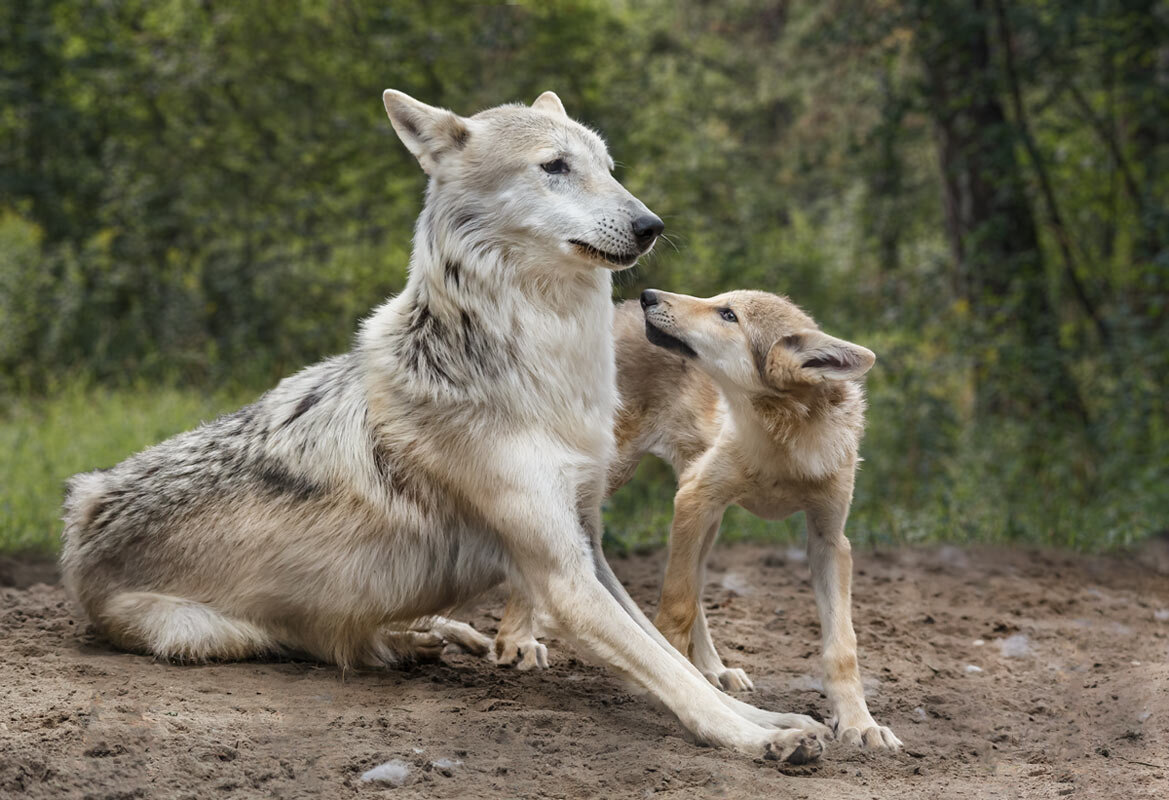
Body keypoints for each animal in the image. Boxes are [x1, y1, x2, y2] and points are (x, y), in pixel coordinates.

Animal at [60, 91, 825, 763]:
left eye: (609, 166)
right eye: (554, 166)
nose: (650, 225)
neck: (546, 373)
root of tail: (79, 521)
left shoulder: (590, 548)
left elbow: (676, 660)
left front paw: (773, 717)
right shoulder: (564, 577)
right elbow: (668, 674)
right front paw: (755, 740)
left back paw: (440, 640)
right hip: (211, 636)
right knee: (323, 643)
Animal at [497, 289, 901, 750]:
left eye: (727, 314)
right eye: (721, 302)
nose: (649, 295)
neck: (781, 445)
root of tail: (614, 311)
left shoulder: (828, 539)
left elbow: (842, 646)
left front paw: (859, 724)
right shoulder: (694, 496)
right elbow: (676, 609)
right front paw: (672, 689)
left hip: (707, 518)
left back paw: (714, 669)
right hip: (609, 480)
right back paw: (516, 638)